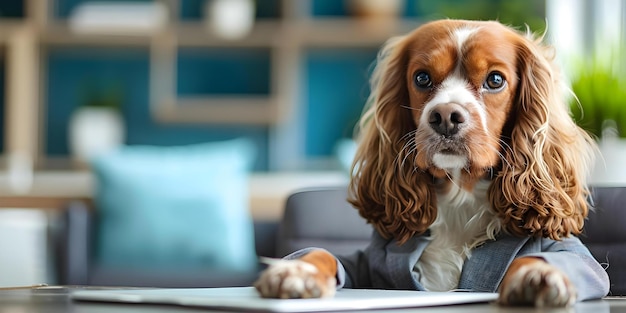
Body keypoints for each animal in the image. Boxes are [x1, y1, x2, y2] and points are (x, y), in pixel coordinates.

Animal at [251, 18, 608, 304]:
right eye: (422, 78)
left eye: (495, 80)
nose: (446, 116)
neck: (460, 196)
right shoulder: (365, 264)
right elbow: (324, 253)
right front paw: (297, 271)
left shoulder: (580, 258)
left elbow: (556, 262)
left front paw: (536, 277)